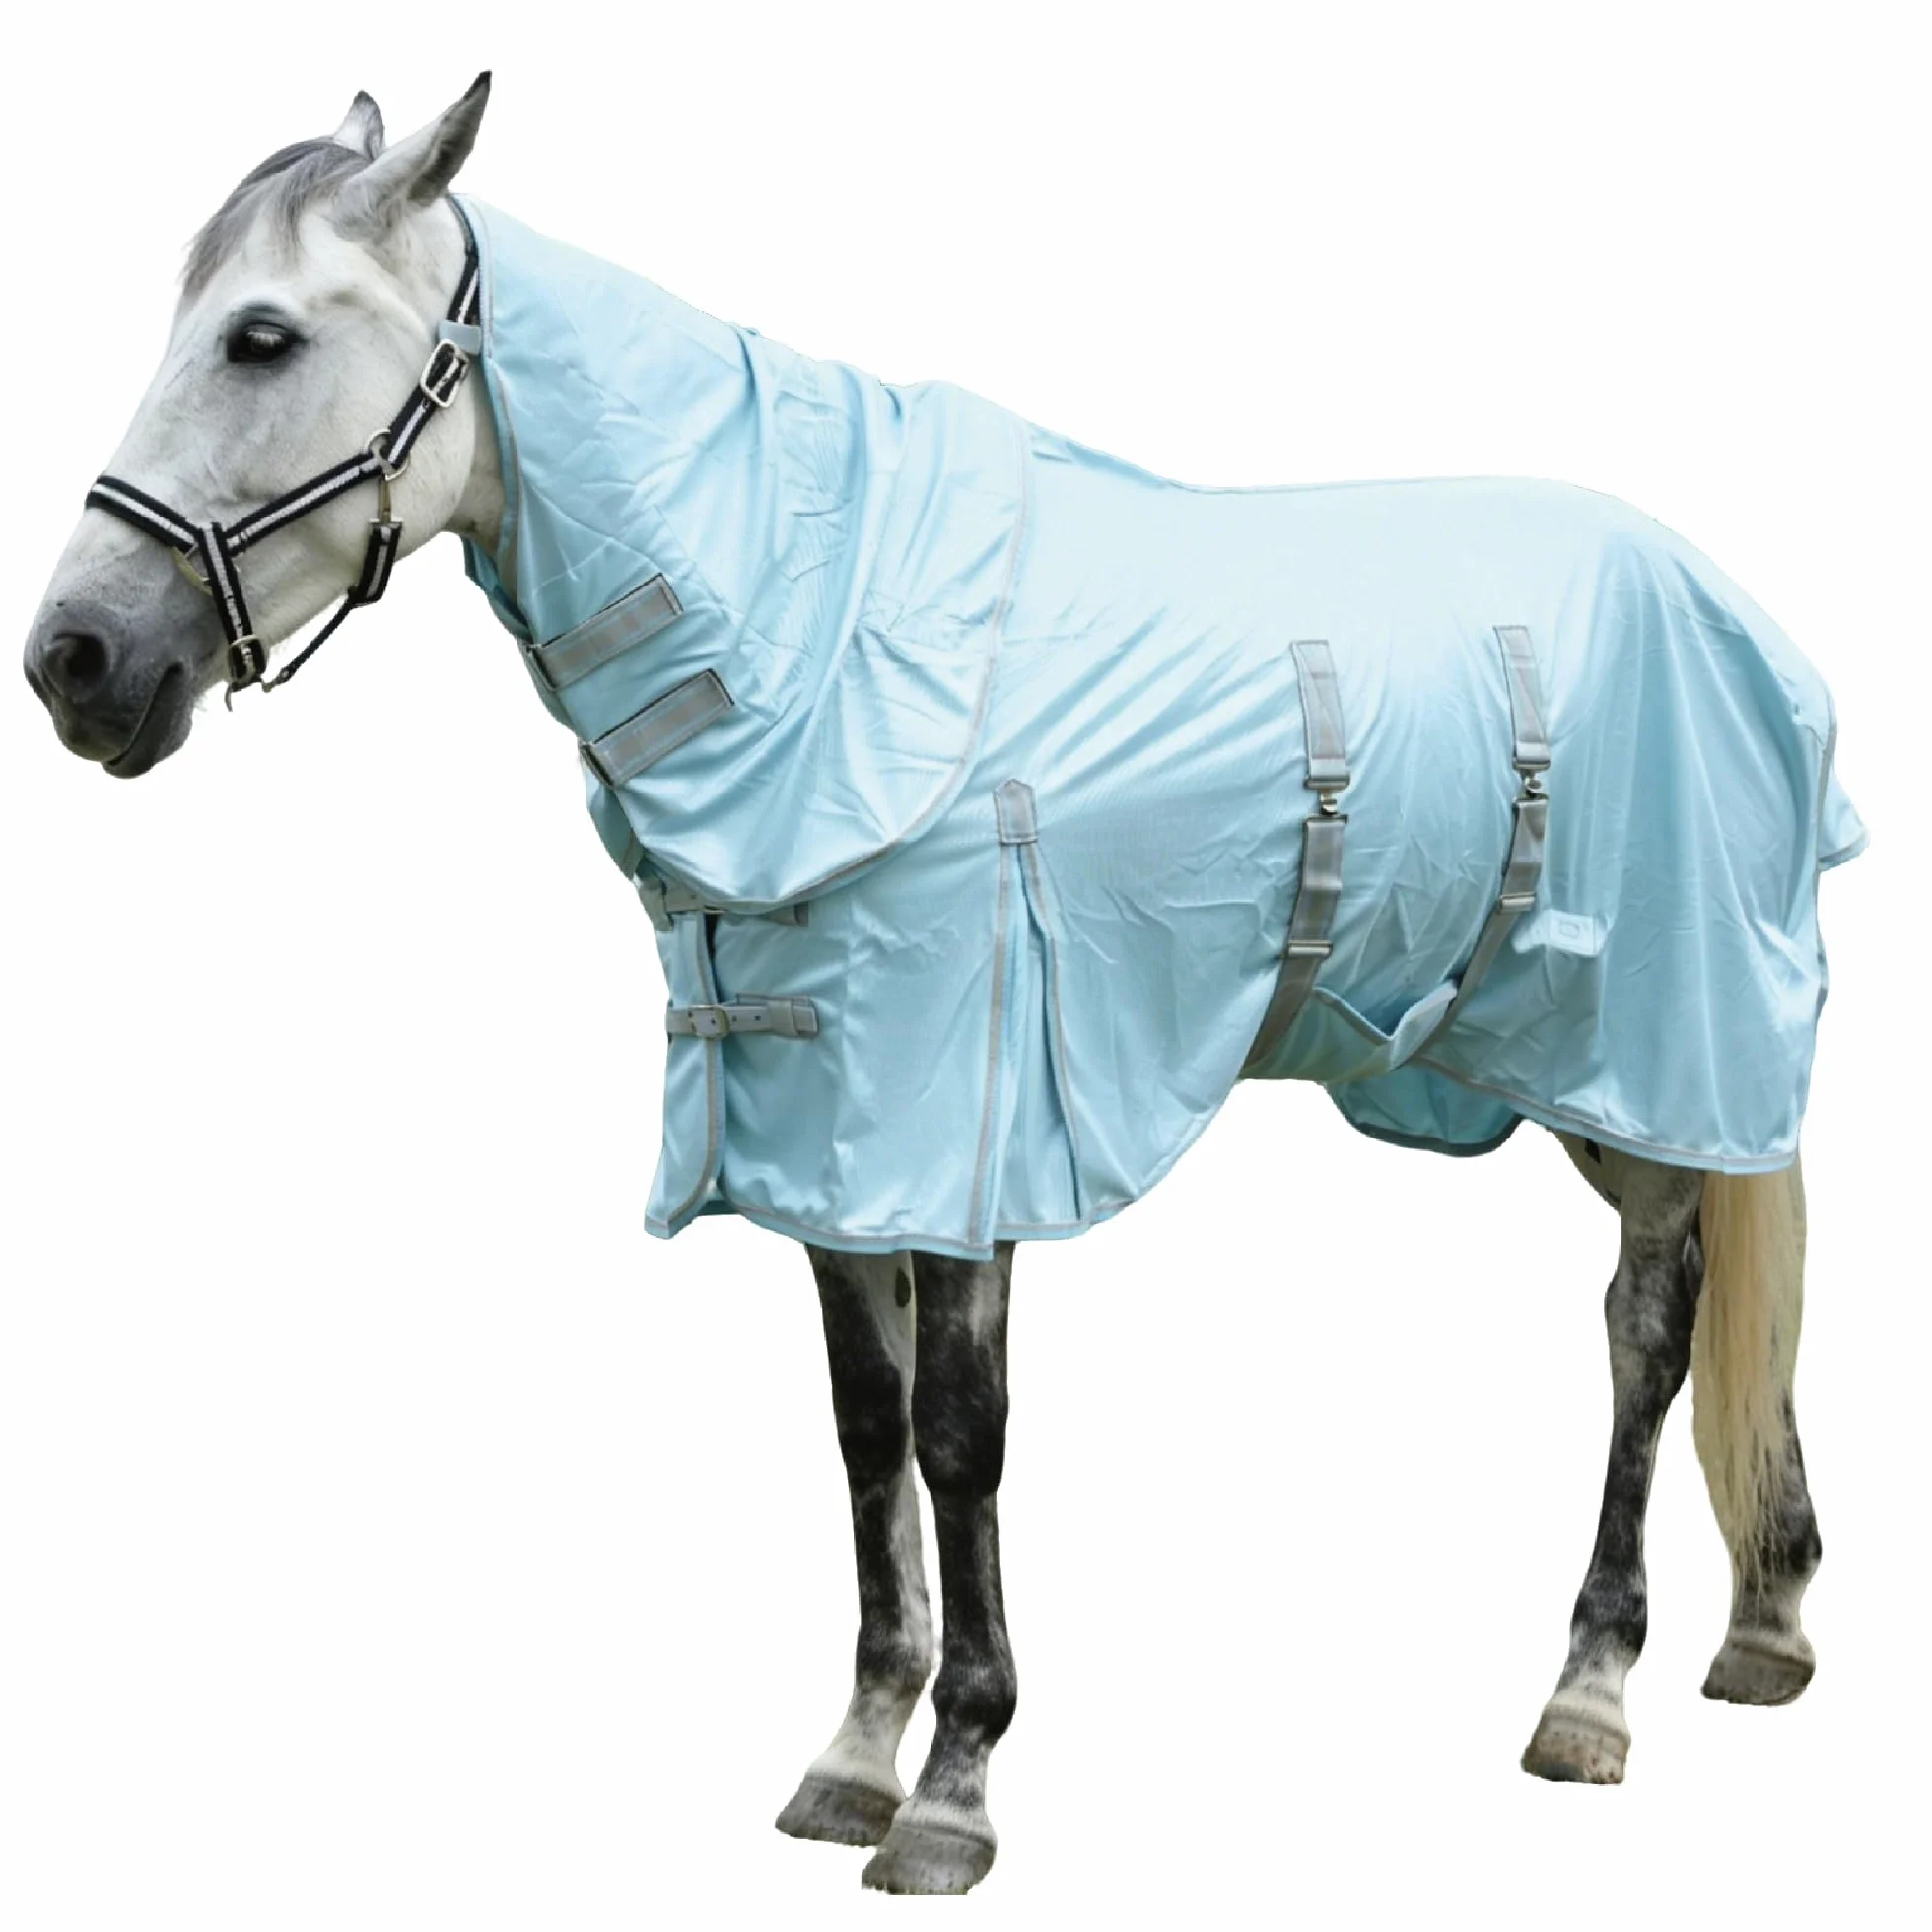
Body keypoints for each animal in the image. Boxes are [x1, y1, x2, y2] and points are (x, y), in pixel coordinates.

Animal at [23, 76, 1860, 1896]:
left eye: (261, 337)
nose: (77, 662)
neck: (819, 643)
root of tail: (1741, 618)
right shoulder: (829, 1144)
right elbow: (867, 1431)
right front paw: (853, 1759)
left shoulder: (966, 1131)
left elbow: (964, 1435)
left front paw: (957, 1789)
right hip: (1562, 1070)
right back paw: (1764, 1625)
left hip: (1652, 1052)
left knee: (1647, 1330)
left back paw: (1593, 1692)